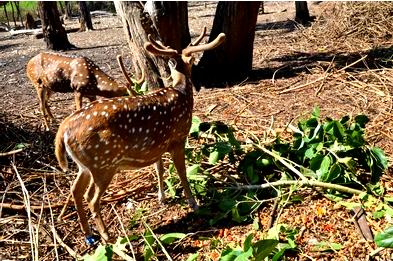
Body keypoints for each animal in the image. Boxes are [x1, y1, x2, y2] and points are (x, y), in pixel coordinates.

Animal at [52, 29, 224, 245]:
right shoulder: (178, 138)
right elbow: (182, 173)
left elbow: (159, 169)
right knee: (91, 198)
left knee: (75, 191)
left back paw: (89, 235)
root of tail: (64, 128)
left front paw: (162, 197)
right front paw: (194, 203)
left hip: (85, 165)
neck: (181, 92)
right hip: (103, 163)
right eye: (191, 62)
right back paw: (107, 235)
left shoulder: (156, 147)